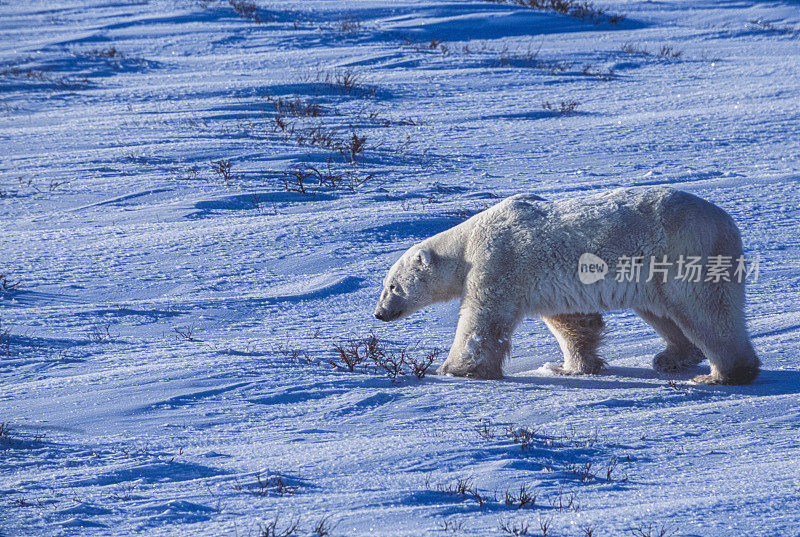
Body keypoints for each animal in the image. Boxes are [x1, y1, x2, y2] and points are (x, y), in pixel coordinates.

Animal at [372, 186, 760, 384]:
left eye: (391, 286)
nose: (379, 314)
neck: (467, 243)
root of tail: (727, 223)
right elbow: (572, 321)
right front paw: (571, 366)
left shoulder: (498, 261)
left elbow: (482, 319)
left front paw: (453, 369)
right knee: (663, 311)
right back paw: (672, 357)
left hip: (685, 252)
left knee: (704, 310)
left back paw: (723, 374)